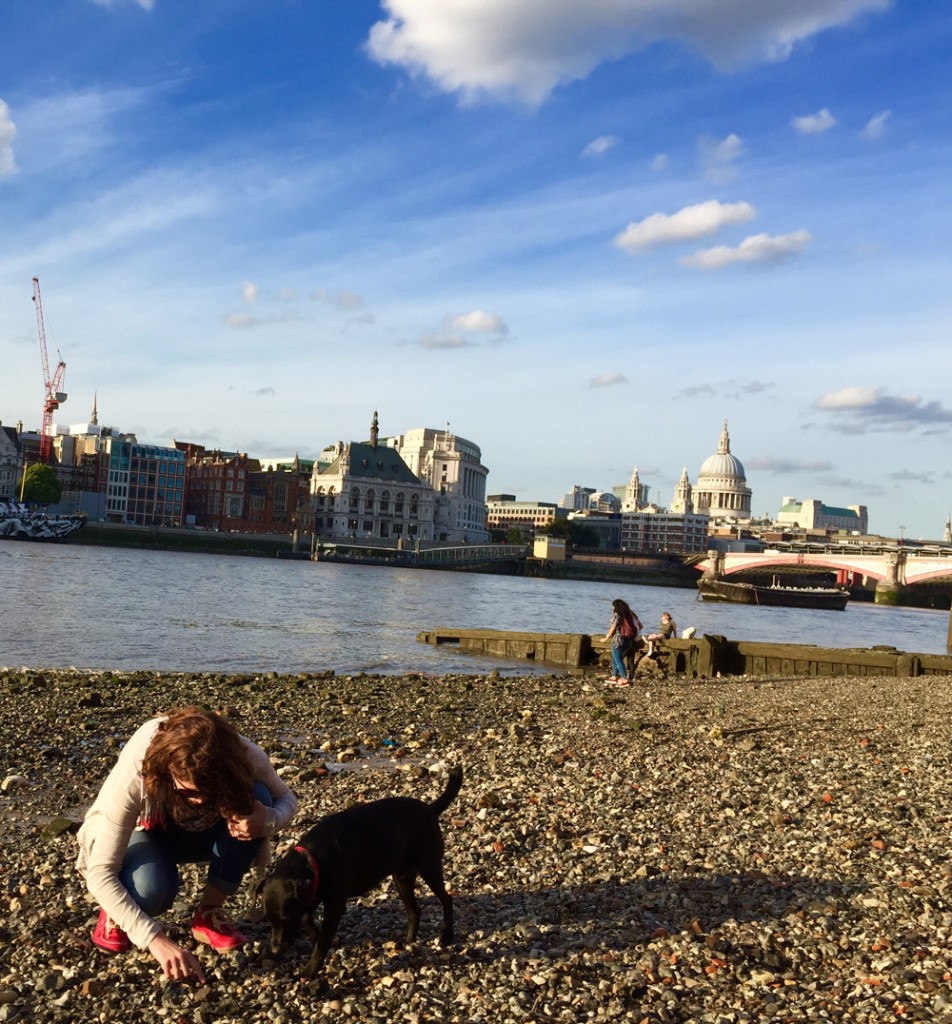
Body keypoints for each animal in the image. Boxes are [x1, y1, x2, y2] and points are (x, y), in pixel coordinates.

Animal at [262, 770, 462, 974]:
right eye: (268, 920)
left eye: (286, 919)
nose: (274, 951)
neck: (312, 860)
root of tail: (429, 809)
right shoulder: (311, 895)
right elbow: (307, 920)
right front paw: (315, 936)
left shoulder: (334, 906)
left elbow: (322, 941)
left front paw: (310, 970)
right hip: (402, 878)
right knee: (415, 911)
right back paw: (409, 943)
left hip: (429, 868)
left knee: (446, 900)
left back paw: (447, 936)